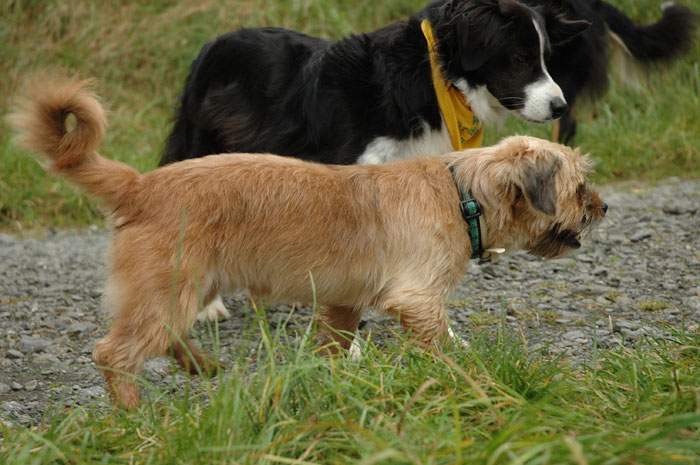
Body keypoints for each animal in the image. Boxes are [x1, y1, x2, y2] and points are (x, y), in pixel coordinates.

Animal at [9, 75, 608, 406]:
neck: (461, 190)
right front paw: (470, 382)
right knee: (113, 353)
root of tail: (140, 185)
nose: (603, 207)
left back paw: (201, 367)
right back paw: (133, 413)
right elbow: (441, 346)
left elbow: (335, 347)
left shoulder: (342, 306)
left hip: (183, 289)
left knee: (162, 337)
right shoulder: (417, 300)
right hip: (169, 289)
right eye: (579, 187)